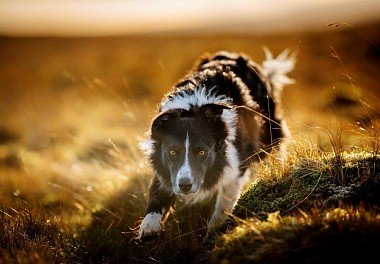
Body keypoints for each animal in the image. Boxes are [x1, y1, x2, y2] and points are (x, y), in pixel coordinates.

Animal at [138, 48, 296, 240]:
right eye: (172, 152)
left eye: (201, 152)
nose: (185, 186)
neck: (193, 107)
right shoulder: (167, 168)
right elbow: (157, 192)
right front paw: (148, 227)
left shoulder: (235, 164)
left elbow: (224, 202)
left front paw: (214, 230)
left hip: (270, 132)